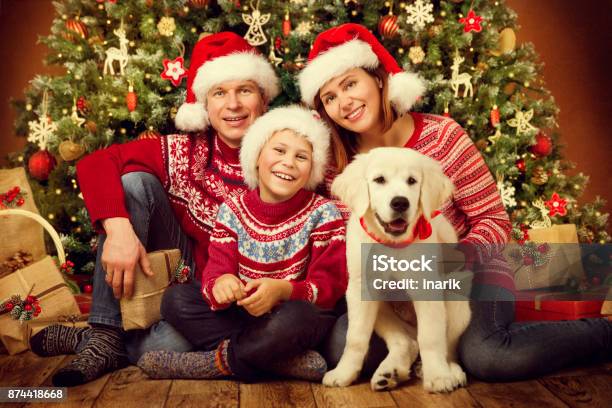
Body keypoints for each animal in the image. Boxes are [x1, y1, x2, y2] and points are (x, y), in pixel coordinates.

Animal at [326, 147, 474, 392]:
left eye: (412, 181)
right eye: (379, 180)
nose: (400, 203)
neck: (392, 245)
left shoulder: (428, 288)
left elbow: (431, 336)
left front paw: (438, 376)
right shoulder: (360, 289)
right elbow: (355, 338)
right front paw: (343, 372)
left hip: (456, 297)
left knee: (448, 346)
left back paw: (448, 370)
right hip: (381, 308)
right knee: (407, 340)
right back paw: (389, 373)